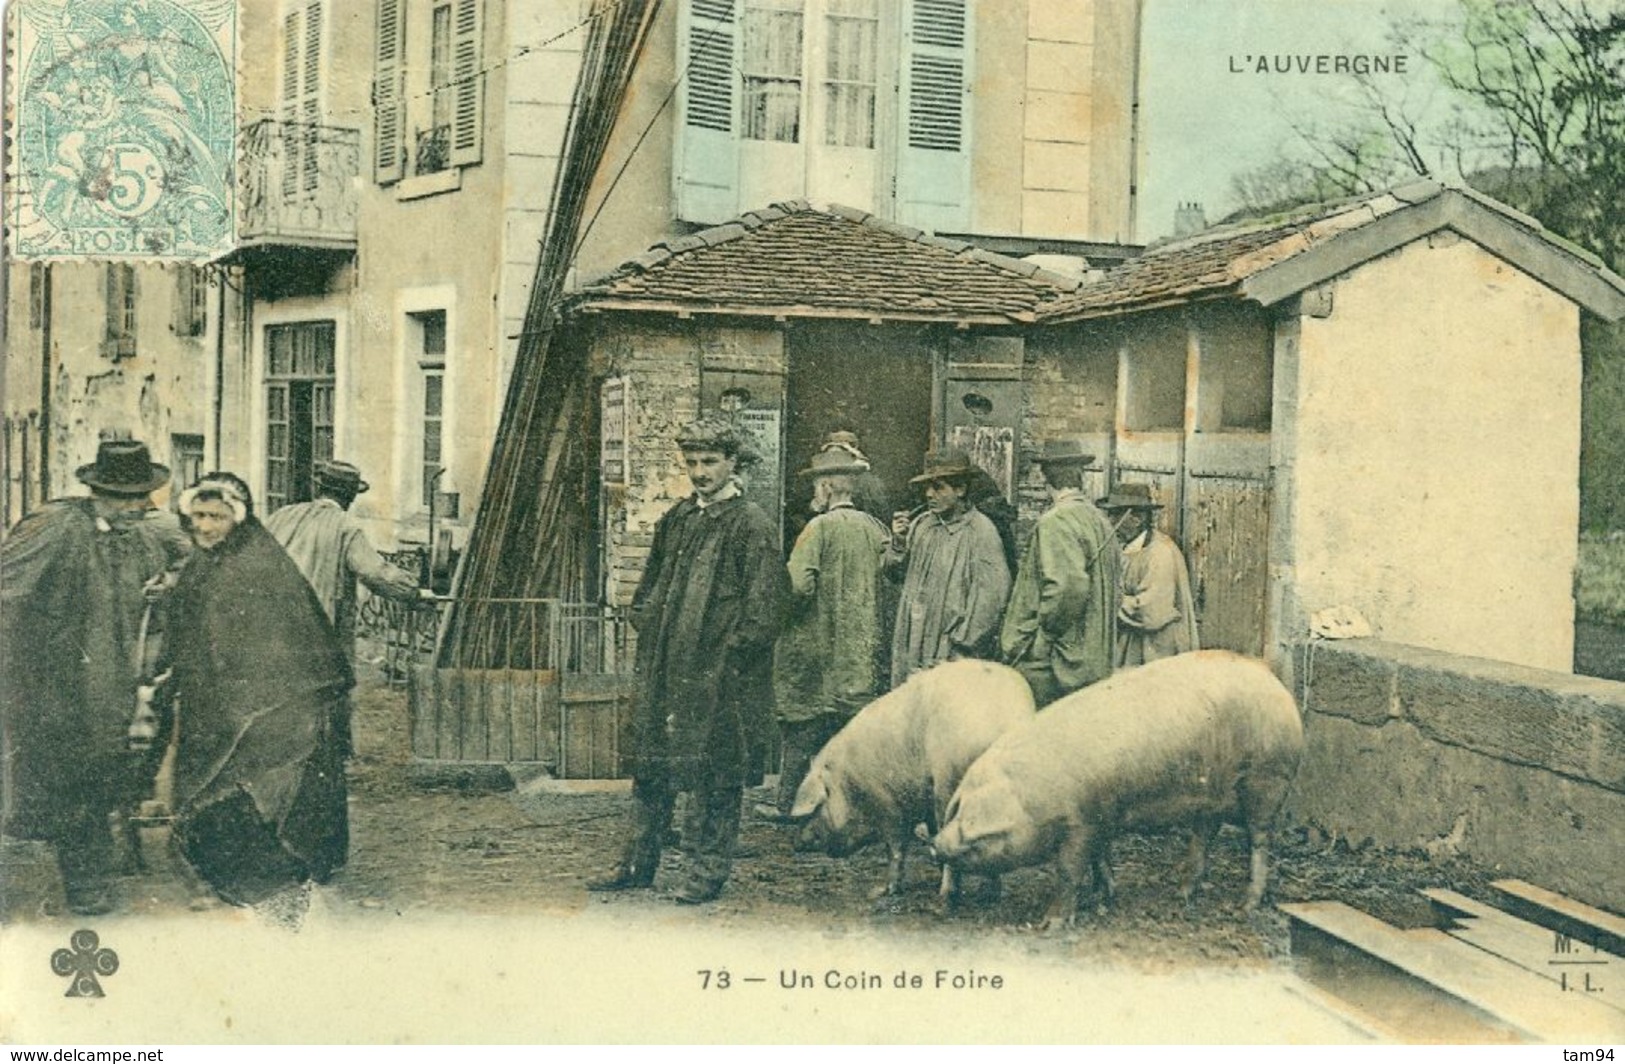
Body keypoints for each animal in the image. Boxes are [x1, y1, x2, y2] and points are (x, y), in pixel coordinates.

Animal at [789, 662, 1040, 903]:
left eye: (814, 809)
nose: (796, 843)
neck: (849, 782)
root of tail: (1004, 723)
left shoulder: (888, 805)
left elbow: (895, 848)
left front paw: (886, 891)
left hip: (947, 784)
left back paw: (946, 895)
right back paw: (986, 894)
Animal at [929, 646, 1306, 929]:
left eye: (981, 834)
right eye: (958, 809)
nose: (935, 845)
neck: (1031, 798)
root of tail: (1272, 679)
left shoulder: (1080, 822)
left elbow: (1069, 871)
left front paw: (1051, 924)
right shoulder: (1099, 817)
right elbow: (1100, 857)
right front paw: (1105, 894)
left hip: (1267, 779)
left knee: (1260, 840)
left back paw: (1245, 906)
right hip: (1210, 794)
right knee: (1203, 835)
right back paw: (1182, 894)